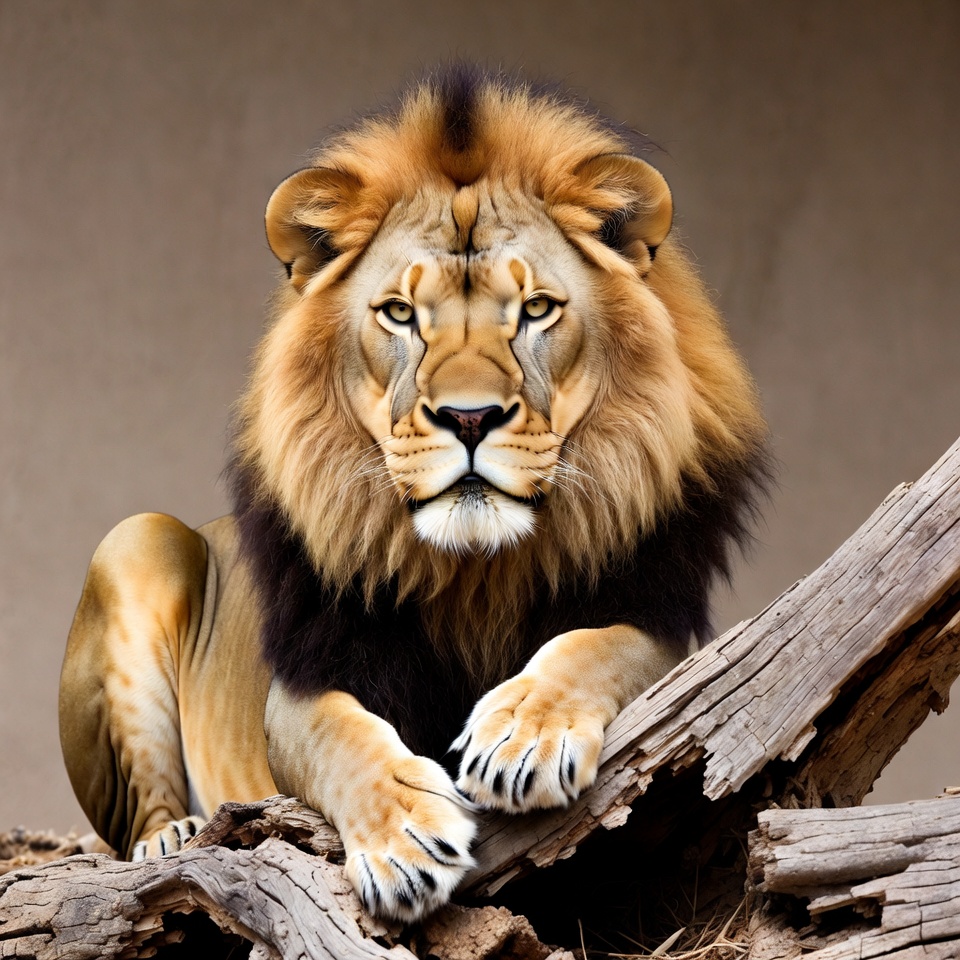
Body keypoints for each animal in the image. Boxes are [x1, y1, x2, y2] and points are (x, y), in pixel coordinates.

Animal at [59, 67, 769, 922]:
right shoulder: (305, 681)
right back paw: (172, 839)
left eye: (536, 310)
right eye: (400, 313)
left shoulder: (658, 621)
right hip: (136, 538)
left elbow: (595, 647)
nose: (469, 417)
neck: (475, 575)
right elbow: (339, 734)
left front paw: (521, 734)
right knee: (141, 812)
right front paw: (404, 837)